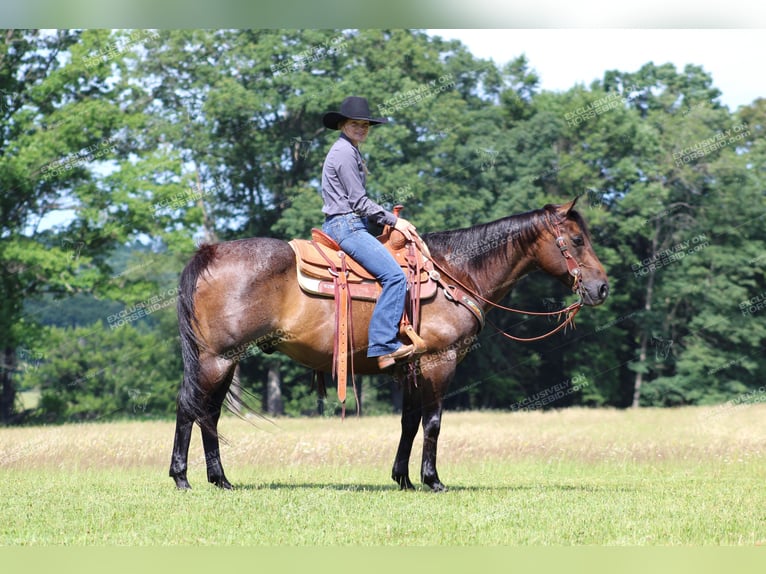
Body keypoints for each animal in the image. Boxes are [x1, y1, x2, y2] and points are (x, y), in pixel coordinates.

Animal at [170, 200, 612, 492]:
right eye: (576, 239)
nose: (601, 288)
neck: (457, 272)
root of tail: (209, 252)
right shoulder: (439, 361)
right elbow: (433, 422)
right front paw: (433, 480)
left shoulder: (413, 366)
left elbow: (409, 422)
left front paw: (404, 479)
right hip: (217, 359)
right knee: (192, 409)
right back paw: (183, 478)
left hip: (224, 361)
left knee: (208, 413)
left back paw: (219, 480)